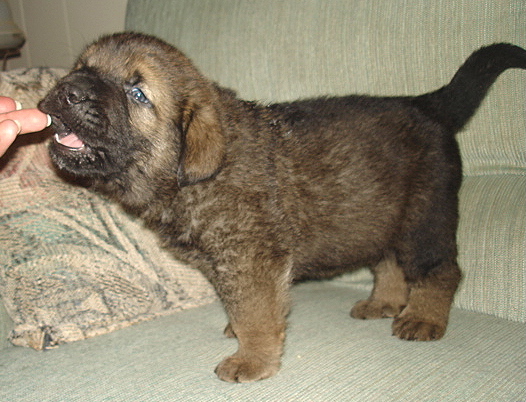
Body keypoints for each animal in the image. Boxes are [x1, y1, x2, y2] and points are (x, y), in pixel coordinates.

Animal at [39, 33, 526, 382]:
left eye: (137, 92)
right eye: (83, 68)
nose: (68, 90)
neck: (188, 177)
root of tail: (426, 104)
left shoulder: (251, 259)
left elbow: (256, 312)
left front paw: (251, 359)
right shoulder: (226, 263)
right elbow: (240, 306)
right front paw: (239, 332)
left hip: (424, 217)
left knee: (440, 270)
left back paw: (422, 318)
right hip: (380, 213)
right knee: (388, 262)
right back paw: (383, 303)